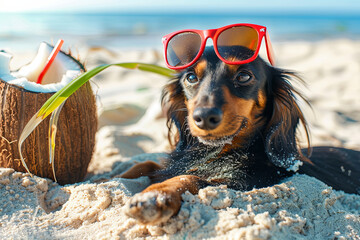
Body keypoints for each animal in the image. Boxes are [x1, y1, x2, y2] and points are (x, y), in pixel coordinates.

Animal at [121, 46, 360, 224]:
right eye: (191, 77)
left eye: (244, 76)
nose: (204, 117)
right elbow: (146, 164)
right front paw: (115, 176)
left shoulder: (243, 184)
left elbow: (190, 177)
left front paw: (154, 196)